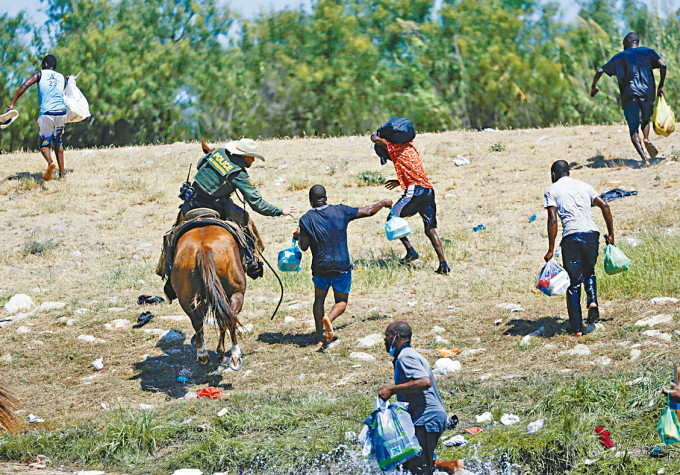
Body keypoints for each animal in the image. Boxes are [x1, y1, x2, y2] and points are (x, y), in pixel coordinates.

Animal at [170, 225, 247, 370]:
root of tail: (203, 248)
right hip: (237, 293)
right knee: (229, 319)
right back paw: (234, 356)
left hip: (186, 298)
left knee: (198, 321)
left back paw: (203, 354)